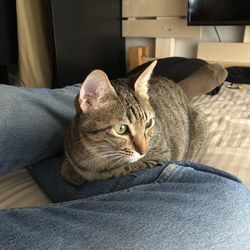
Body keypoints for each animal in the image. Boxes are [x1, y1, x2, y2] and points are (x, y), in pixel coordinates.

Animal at [61, 61, 228, 186]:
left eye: (148, 124)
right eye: (121, 128)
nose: (143, 151)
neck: (94, 155)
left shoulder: (161, 155)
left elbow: (121, 169)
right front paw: (73, 171)